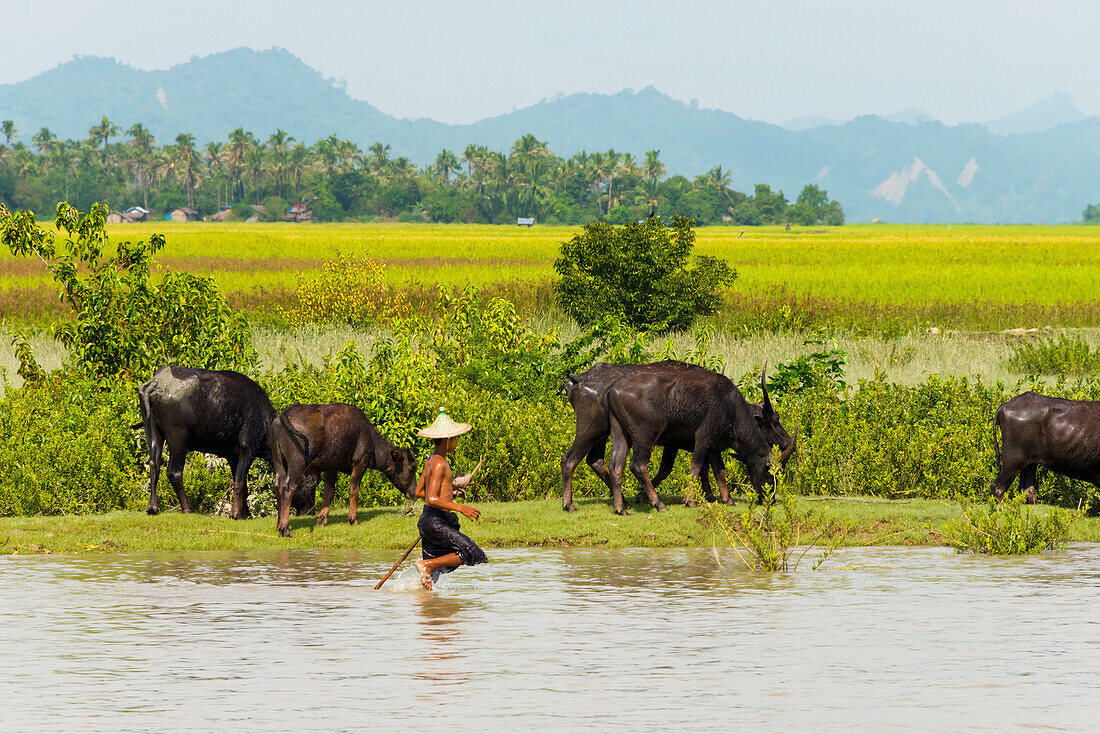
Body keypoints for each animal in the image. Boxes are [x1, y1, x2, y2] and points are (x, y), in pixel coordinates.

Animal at [134, 365, 279, 517]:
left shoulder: (233, 456)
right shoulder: (248, 448)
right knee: (174, 472)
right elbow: (240, 482)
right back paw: (187, 508)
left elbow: (241, 483)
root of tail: (157, 382)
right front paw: (237, 514)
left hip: (152, 431)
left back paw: (152, 507)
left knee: (154, 464)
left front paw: (245, 513)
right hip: (178, 439)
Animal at [269, 404, 415, 537]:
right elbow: (354, 491)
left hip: (279, 463)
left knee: (278, 486)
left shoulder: (331, 467)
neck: (371, 438)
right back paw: (285, 529)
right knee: (288, 488)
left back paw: (278, 525)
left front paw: (322, 519)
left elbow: (329, 492)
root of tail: (283, 415)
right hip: (296, 463)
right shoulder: (360, 464)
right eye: (412, 468)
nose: (413, 492)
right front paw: (353, 519)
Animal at [563, 360, 796, 510]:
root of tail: (578, 379)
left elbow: (717, 471)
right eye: (772, 473)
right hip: (600, 430)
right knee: (577, 459)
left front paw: (722, 498)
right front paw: (689, 500)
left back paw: (619, 502)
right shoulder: (699, 439)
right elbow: (691, 469)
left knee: (603, 462)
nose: (771, 499)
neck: (731, 408)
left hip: (611, 434)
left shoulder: (711, 445)